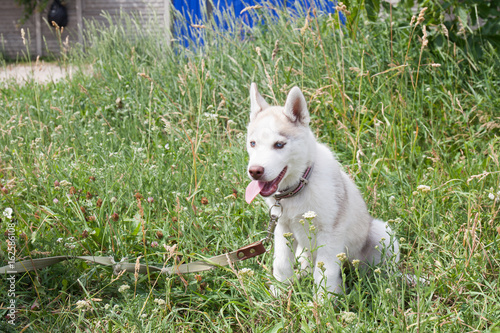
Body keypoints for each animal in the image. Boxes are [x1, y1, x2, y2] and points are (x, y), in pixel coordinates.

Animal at [244, 83, 400, 296]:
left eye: (279, 145)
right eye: (253, 143)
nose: (255, 171)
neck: (299, 188)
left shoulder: (330, 233)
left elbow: (324, 274)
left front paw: (322, 302)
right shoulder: (283, 228)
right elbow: (282, 264)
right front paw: (278, 294)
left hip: (381, 231)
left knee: (380, 270)